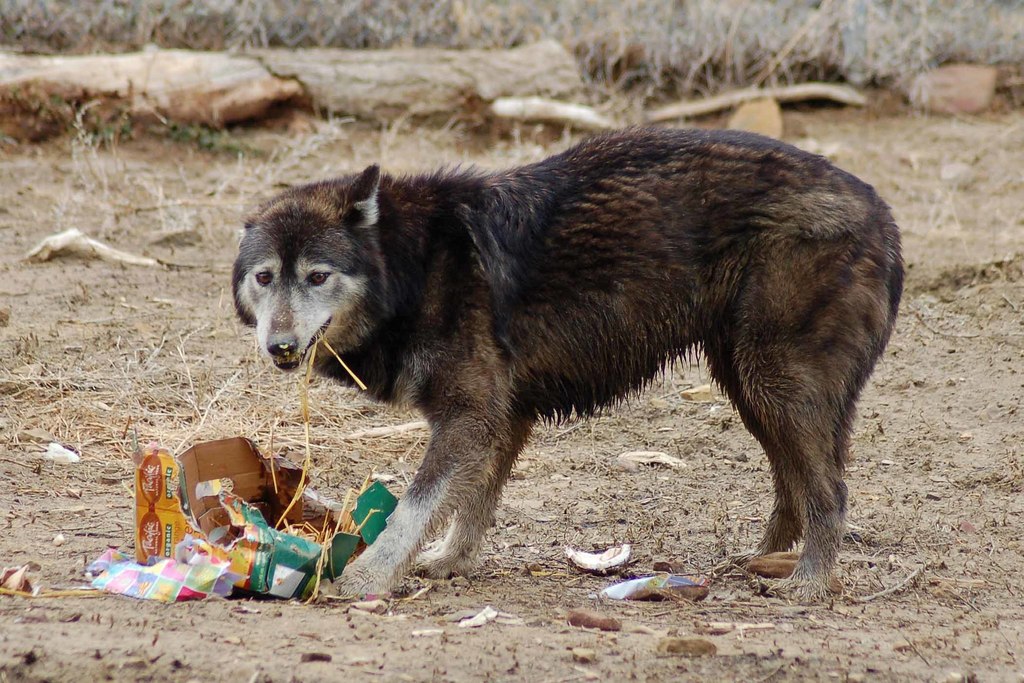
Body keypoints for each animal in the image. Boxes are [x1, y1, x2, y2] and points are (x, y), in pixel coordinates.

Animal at [234, 125, 905, 602]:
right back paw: (760, 562)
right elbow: (472, 504)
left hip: (773, 383)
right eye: (265, 278)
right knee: (795, 483)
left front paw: (366, 579)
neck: (415, 265)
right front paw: (450, 562)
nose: (280, 347)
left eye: (317, 276)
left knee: (830, 491)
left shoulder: (470, 416)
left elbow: (415, 508)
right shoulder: (500, 420)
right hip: (751, 388)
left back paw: (809, 585)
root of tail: (880, 208)